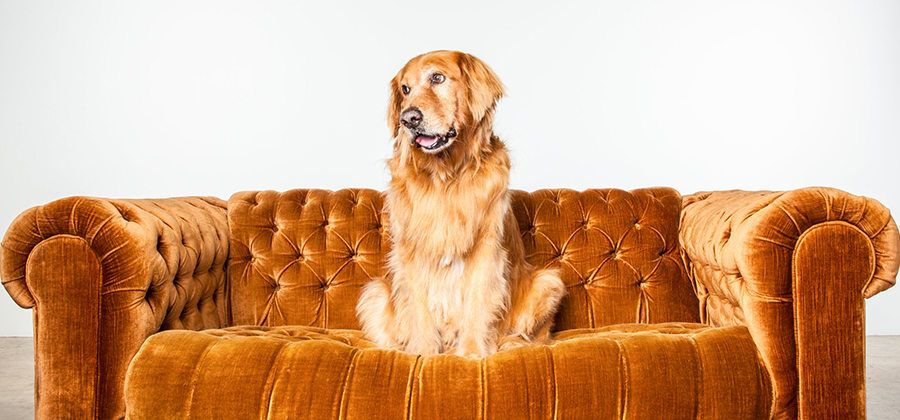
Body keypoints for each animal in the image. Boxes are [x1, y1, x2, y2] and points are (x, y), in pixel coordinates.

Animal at [356, 50, 564, 358]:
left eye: (437, 78)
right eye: (405, 89)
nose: (408, 118)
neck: (445, 177)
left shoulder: (485, 248)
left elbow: (478, 302)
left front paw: (472, 352)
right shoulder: (410, 250)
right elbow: (418, 307)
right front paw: (423, 351)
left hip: (548, 282)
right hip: (376, 292)